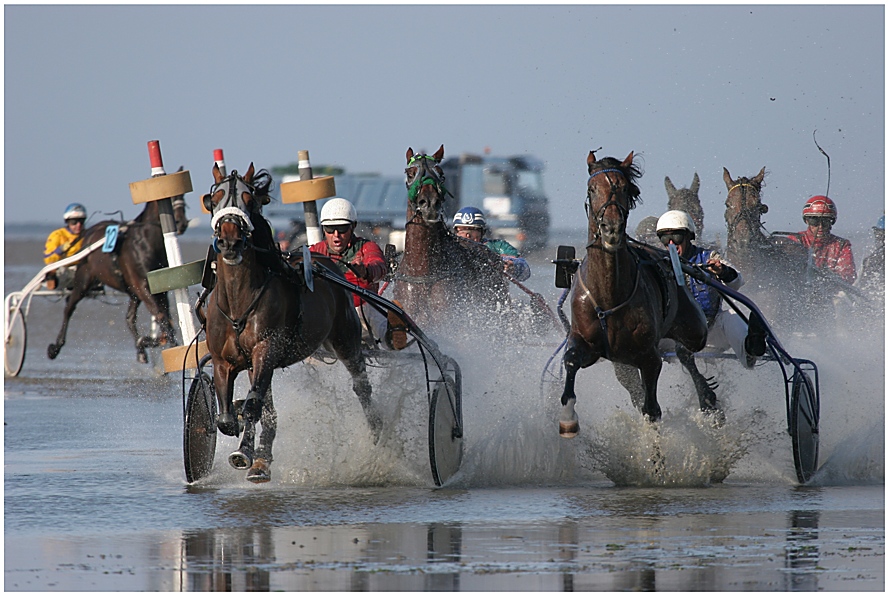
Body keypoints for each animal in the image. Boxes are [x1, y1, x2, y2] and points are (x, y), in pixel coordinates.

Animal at [47, 172, 189, 364]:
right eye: (168, 197)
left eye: (183, 197)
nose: (181, 223)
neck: (147, 241)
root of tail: (89, 232)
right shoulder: (142, 286)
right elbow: (163, 319)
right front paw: (155, 342)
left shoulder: (158, 288)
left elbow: (165, 319)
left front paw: (148, 342)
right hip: (84, 279)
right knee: (69, 307)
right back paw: (56, 347)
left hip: (131, 292)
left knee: (129, 318)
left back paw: (141, 349)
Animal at [203, 161, 376, 482]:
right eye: (215, 197)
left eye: (249, 199)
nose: (230, 240)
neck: (238, 300)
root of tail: (327, 263)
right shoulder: (223, 361)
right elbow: (227, 417)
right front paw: (241, 430)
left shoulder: (266, 349)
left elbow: (253, 405)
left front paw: (243, 451)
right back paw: (262, 460)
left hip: (347, 339)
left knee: (362, 387)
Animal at [556, 151, 716, 436]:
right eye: (592, 188)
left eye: (624, 188)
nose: (611, 228)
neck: (610, 294)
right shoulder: (586, 343)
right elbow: (572, 361)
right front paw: (567, 417)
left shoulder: (649, 357)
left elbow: (652, 408)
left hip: (694, 327)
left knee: (687, 352)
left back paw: (706, 395)